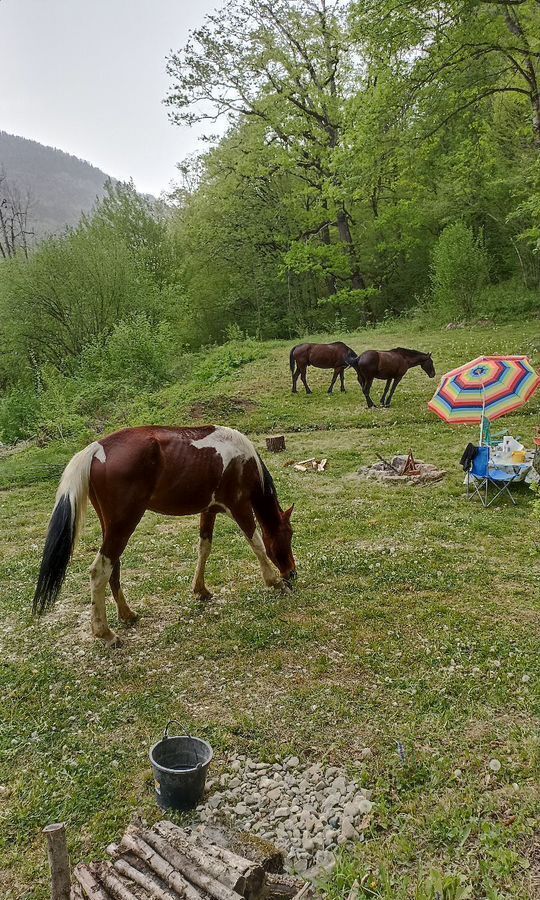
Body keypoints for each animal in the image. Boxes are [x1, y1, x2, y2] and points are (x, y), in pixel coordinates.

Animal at [33, 428, 296, 648]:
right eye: (289, 535)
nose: (292, 573)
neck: (244, 461)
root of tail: (97, 448)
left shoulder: (209, 511)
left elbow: (204, 547)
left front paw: (200, 589)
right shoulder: (239, 507)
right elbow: (257, 544)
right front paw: (274, 581)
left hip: (112, 526)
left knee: (113, 566)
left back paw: (127, 614)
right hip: (123, 525)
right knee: (99, 571)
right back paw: (105, 633)